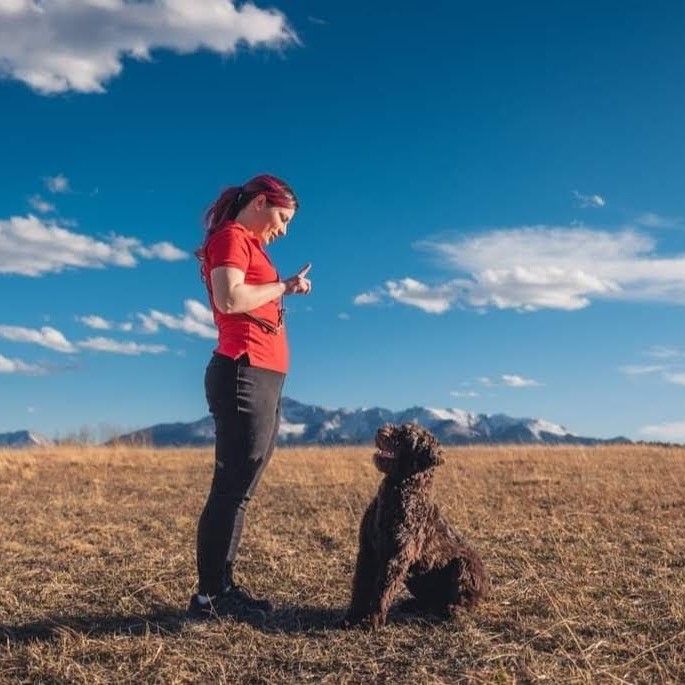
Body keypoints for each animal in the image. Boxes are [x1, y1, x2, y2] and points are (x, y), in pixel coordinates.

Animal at [342, 422, 486, 632]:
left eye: (406, 436)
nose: (380, 431)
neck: (398, 491)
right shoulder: (367, 550)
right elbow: (360, 586)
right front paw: (351, 617)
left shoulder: (396, 556)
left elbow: (382, 590)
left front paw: (372, 621)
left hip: (463, 566)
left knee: (463, 601)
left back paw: (453, 609)